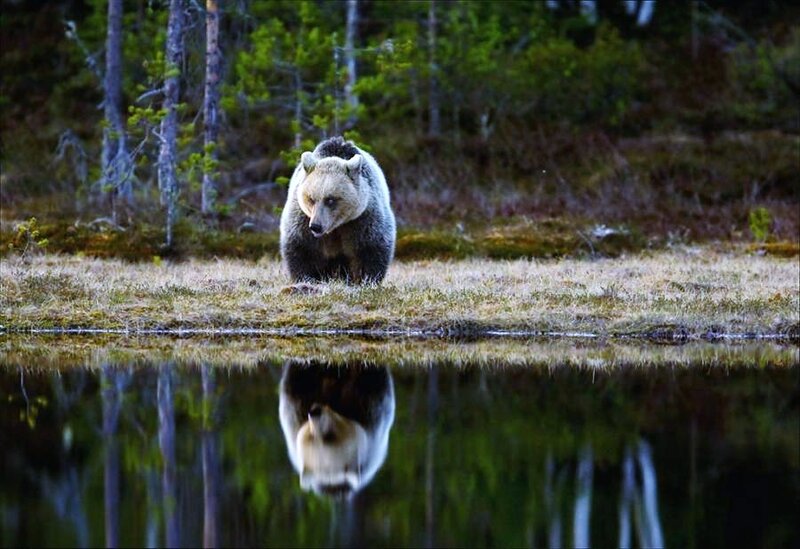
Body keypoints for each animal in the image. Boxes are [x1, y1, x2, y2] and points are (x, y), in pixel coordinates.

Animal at [279, 137, 396, 284]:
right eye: (311, 198)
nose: (316, 226)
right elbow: (302, 248)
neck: (335, 228)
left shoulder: (363, 218)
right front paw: (306, 278)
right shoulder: (302, 219)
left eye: (330, 199)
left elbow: (370, 247)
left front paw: (365, 280)